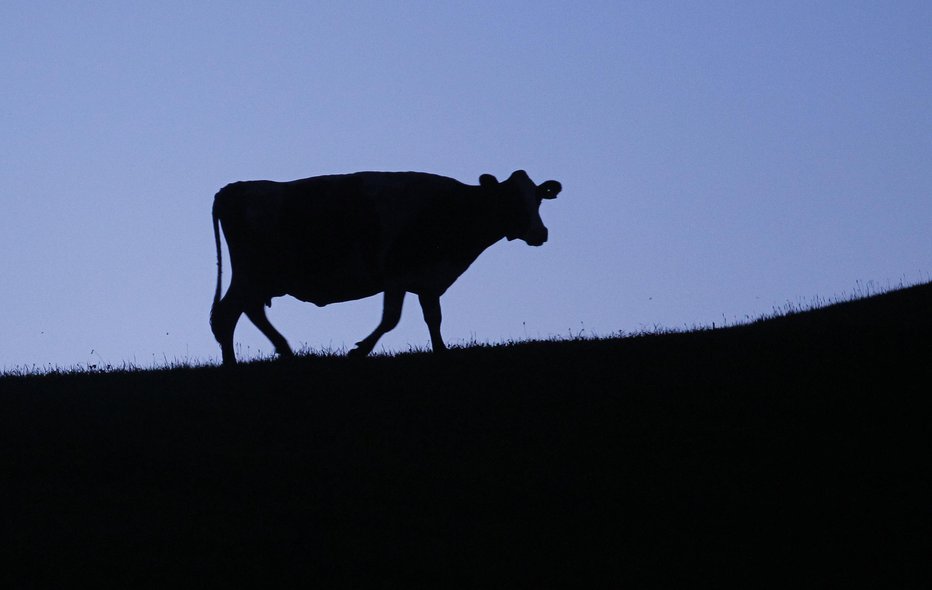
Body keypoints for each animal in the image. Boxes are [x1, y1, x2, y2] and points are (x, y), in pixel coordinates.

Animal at [210, 169, 560, 368]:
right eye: (511, 199)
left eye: (538, 199)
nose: (541, 233)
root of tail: (233, 188)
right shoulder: (396, 273)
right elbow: (391, 318)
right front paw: (360, 350)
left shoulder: (427, 278)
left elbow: (434, 318)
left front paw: (441, 351)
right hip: (251, 274)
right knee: (229, 313)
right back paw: (236, 363)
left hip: (258, 278)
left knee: (246, 311)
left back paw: (270, 353)